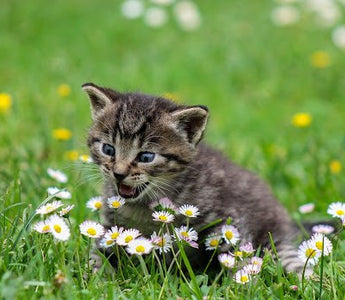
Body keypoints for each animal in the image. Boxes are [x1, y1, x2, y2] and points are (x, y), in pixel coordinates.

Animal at [82, 82, 306, 274]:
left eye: (146, 157)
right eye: (108, 149)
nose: (119, 173)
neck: (144, 206)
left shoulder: (228, 218)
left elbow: (236, 255)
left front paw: (241, 283)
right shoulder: (111, 226)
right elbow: (98, 253)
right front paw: (94, 275)